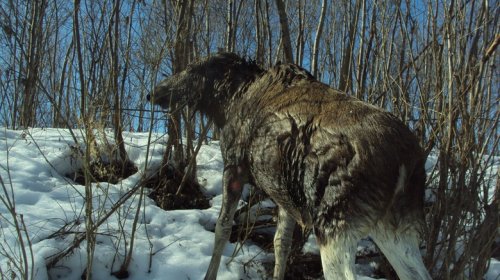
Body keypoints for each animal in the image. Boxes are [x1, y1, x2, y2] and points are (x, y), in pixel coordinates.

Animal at [146, 53, 432, 280]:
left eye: (191, 69)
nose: (153, 92)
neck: (227, 103)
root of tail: (406, 162)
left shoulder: (234, 166)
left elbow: (222, 229)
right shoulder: (285, 195)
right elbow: (280, 243)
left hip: (334, 224)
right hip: (396, 227)